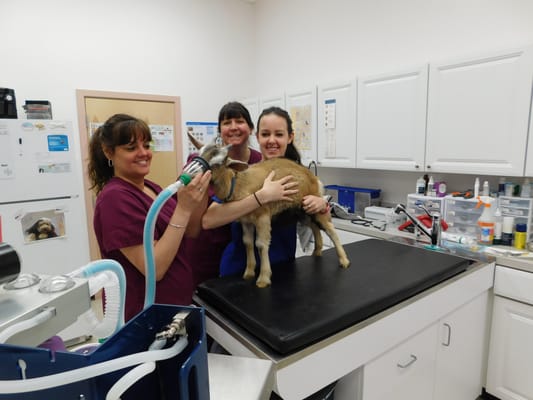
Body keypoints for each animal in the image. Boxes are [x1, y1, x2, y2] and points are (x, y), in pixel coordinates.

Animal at [195, 140, 350, 288]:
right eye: (200, 154)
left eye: (218, 162)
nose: (194, 174)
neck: (238, 185)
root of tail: (314, 178)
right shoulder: (246, 221)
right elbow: (247, 243)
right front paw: (248, 273)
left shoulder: (262, 217)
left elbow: (261, 244)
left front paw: (263, 279)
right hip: (302, 211)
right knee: (314, 226)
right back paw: (316, 252)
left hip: (315, 206)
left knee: (330, 229)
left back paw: (344, 261)